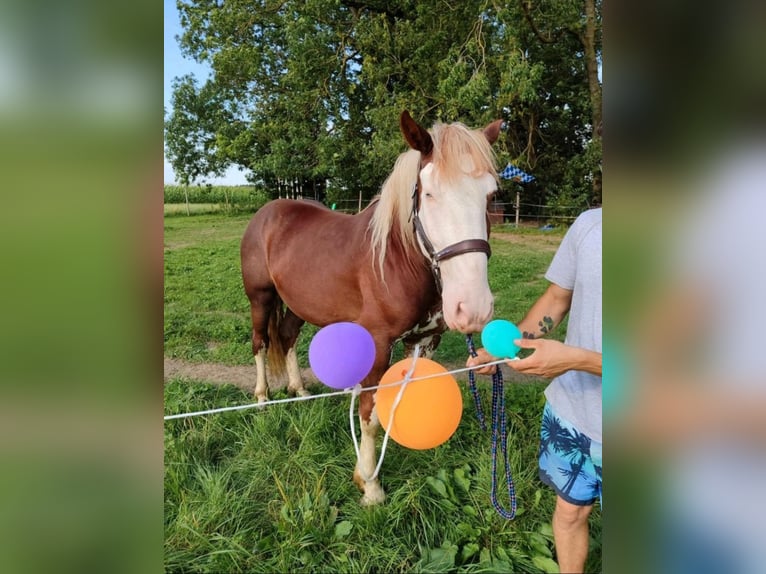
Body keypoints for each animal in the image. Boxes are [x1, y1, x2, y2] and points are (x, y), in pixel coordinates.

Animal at [242, 111, 504, 504]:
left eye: (490, 195)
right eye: (429, 193)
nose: (472, 307)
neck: (399, 259)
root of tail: (270, 210)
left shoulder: (424, 342)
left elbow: (397, 402)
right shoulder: (379, 344)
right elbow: (370, 413)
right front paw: (370, 484)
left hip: (299, 304)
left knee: (286, 337)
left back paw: (299, 391)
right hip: (261, 297)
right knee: (260, 342)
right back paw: (262, 397)